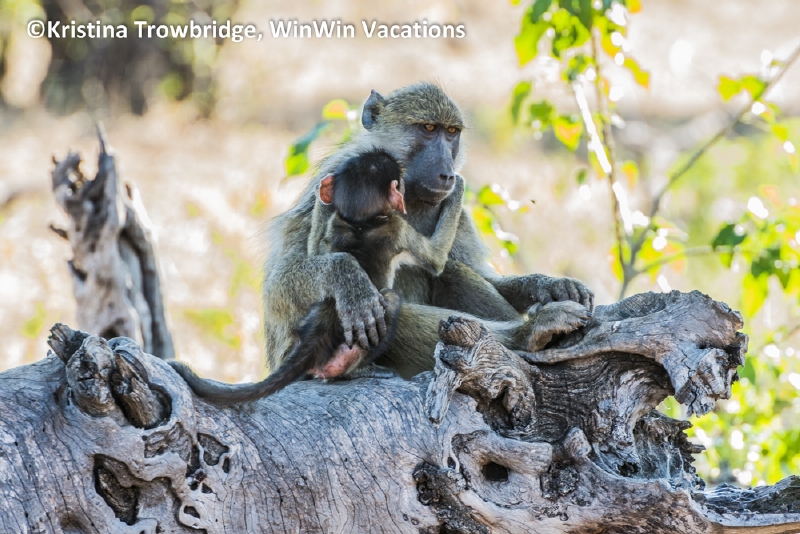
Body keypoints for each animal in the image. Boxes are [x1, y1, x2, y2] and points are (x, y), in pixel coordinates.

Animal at [169, 148, 467, 402]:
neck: (361, 222)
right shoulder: (398, 228)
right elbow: (437, 259)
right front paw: (458, 191)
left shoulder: (337, 225)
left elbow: (311, 256)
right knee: (391, 300)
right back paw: (357, 370)